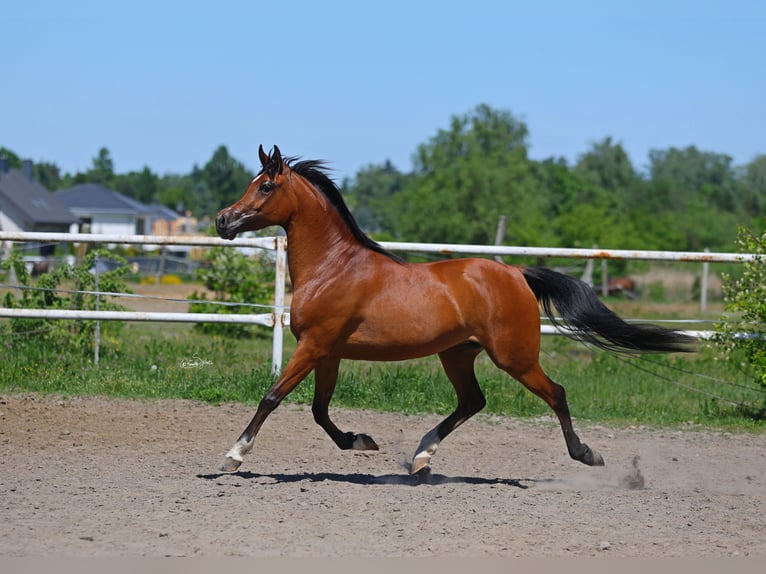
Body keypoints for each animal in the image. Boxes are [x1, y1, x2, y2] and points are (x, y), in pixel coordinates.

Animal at [215, 145, 694, 475]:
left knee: (555, 393)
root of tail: (517, 273)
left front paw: (233, 455)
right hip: (458, 353)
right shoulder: (327, 352)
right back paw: (421, 457)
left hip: (515, 357)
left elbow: (272, 396)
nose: (223, 220)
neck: (334, 267)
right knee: (472, 401)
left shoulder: (314, 346)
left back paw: (586, 454)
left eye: (266, 186)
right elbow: (318, 410)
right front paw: (361, 441)